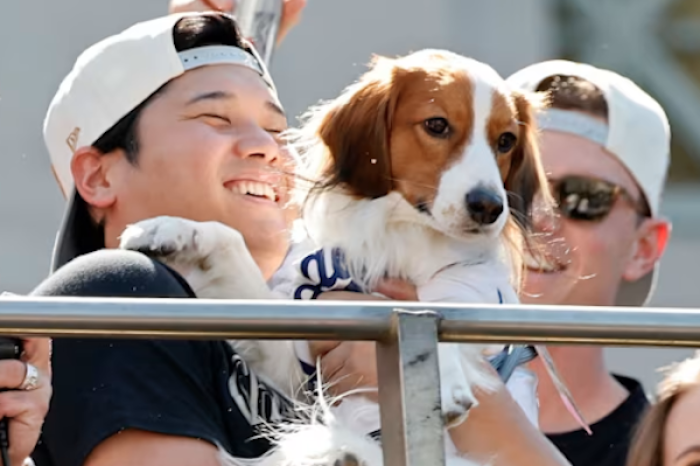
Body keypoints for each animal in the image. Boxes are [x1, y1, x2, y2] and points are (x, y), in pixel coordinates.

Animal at [117, 48, 548, 466]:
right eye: (437, 125)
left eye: (506, 140)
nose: (489, 207)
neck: (400, 237)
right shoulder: (297, 366)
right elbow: (228, 240)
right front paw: (173, 228)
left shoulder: (474, 297)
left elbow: (436, 312)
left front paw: (445, 377)